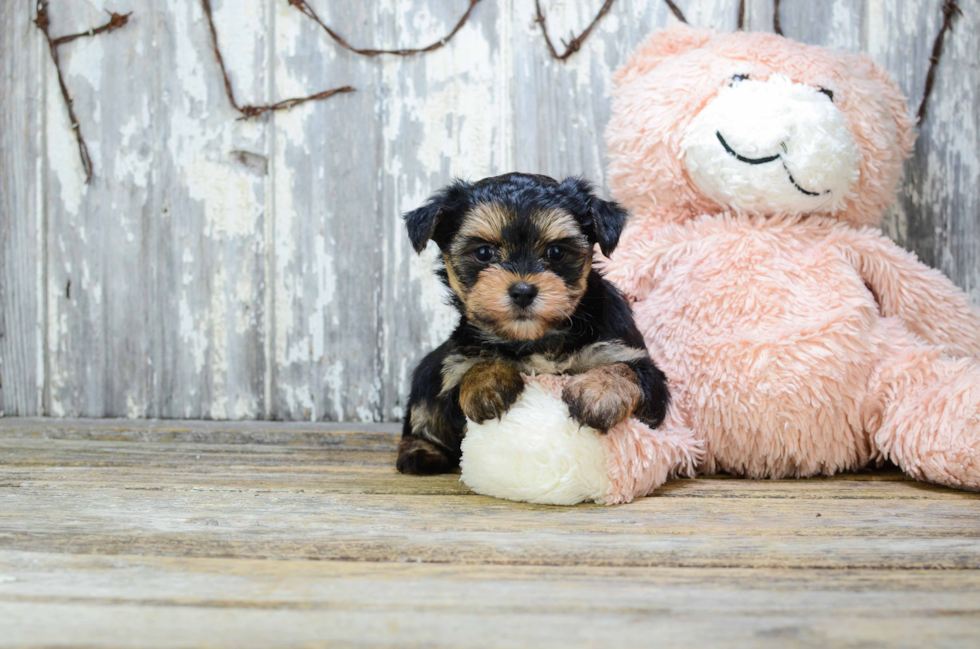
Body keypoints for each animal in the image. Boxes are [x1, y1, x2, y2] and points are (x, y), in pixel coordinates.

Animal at [394, 173, 668, 476]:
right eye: (484, 253)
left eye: (556, 252)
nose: (523, 291)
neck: (537, 339)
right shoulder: (456, 362)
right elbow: (472, 367)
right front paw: (486, 381)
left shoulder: (631, 357)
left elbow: (625, 370)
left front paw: (601, 391)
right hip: (428, 371)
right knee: (421, 410)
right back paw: (420, 452)